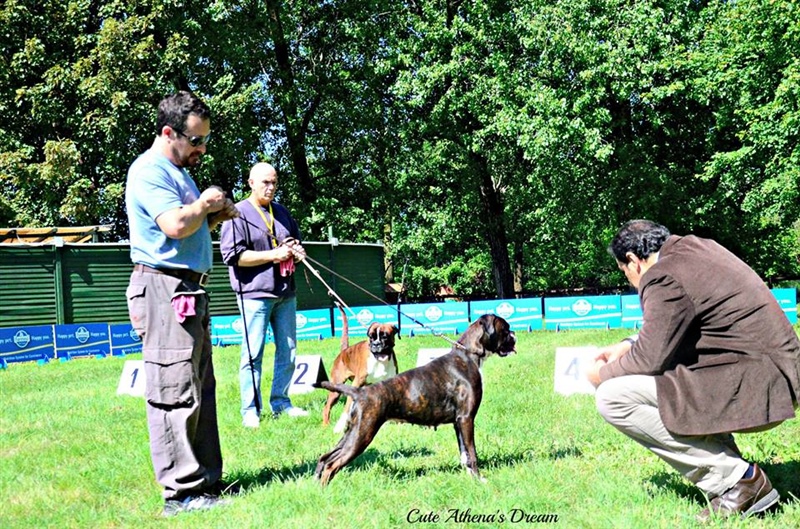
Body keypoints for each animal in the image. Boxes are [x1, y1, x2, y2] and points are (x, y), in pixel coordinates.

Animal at [322, 306, 400, 434]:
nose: (376, 344)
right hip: (336, 390)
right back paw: (326, 424)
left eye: (385, 336)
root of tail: (344, 351)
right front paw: (340, 426)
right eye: (371, 337)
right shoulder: (356, 383)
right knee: (326, 407)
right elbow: (347, 407)